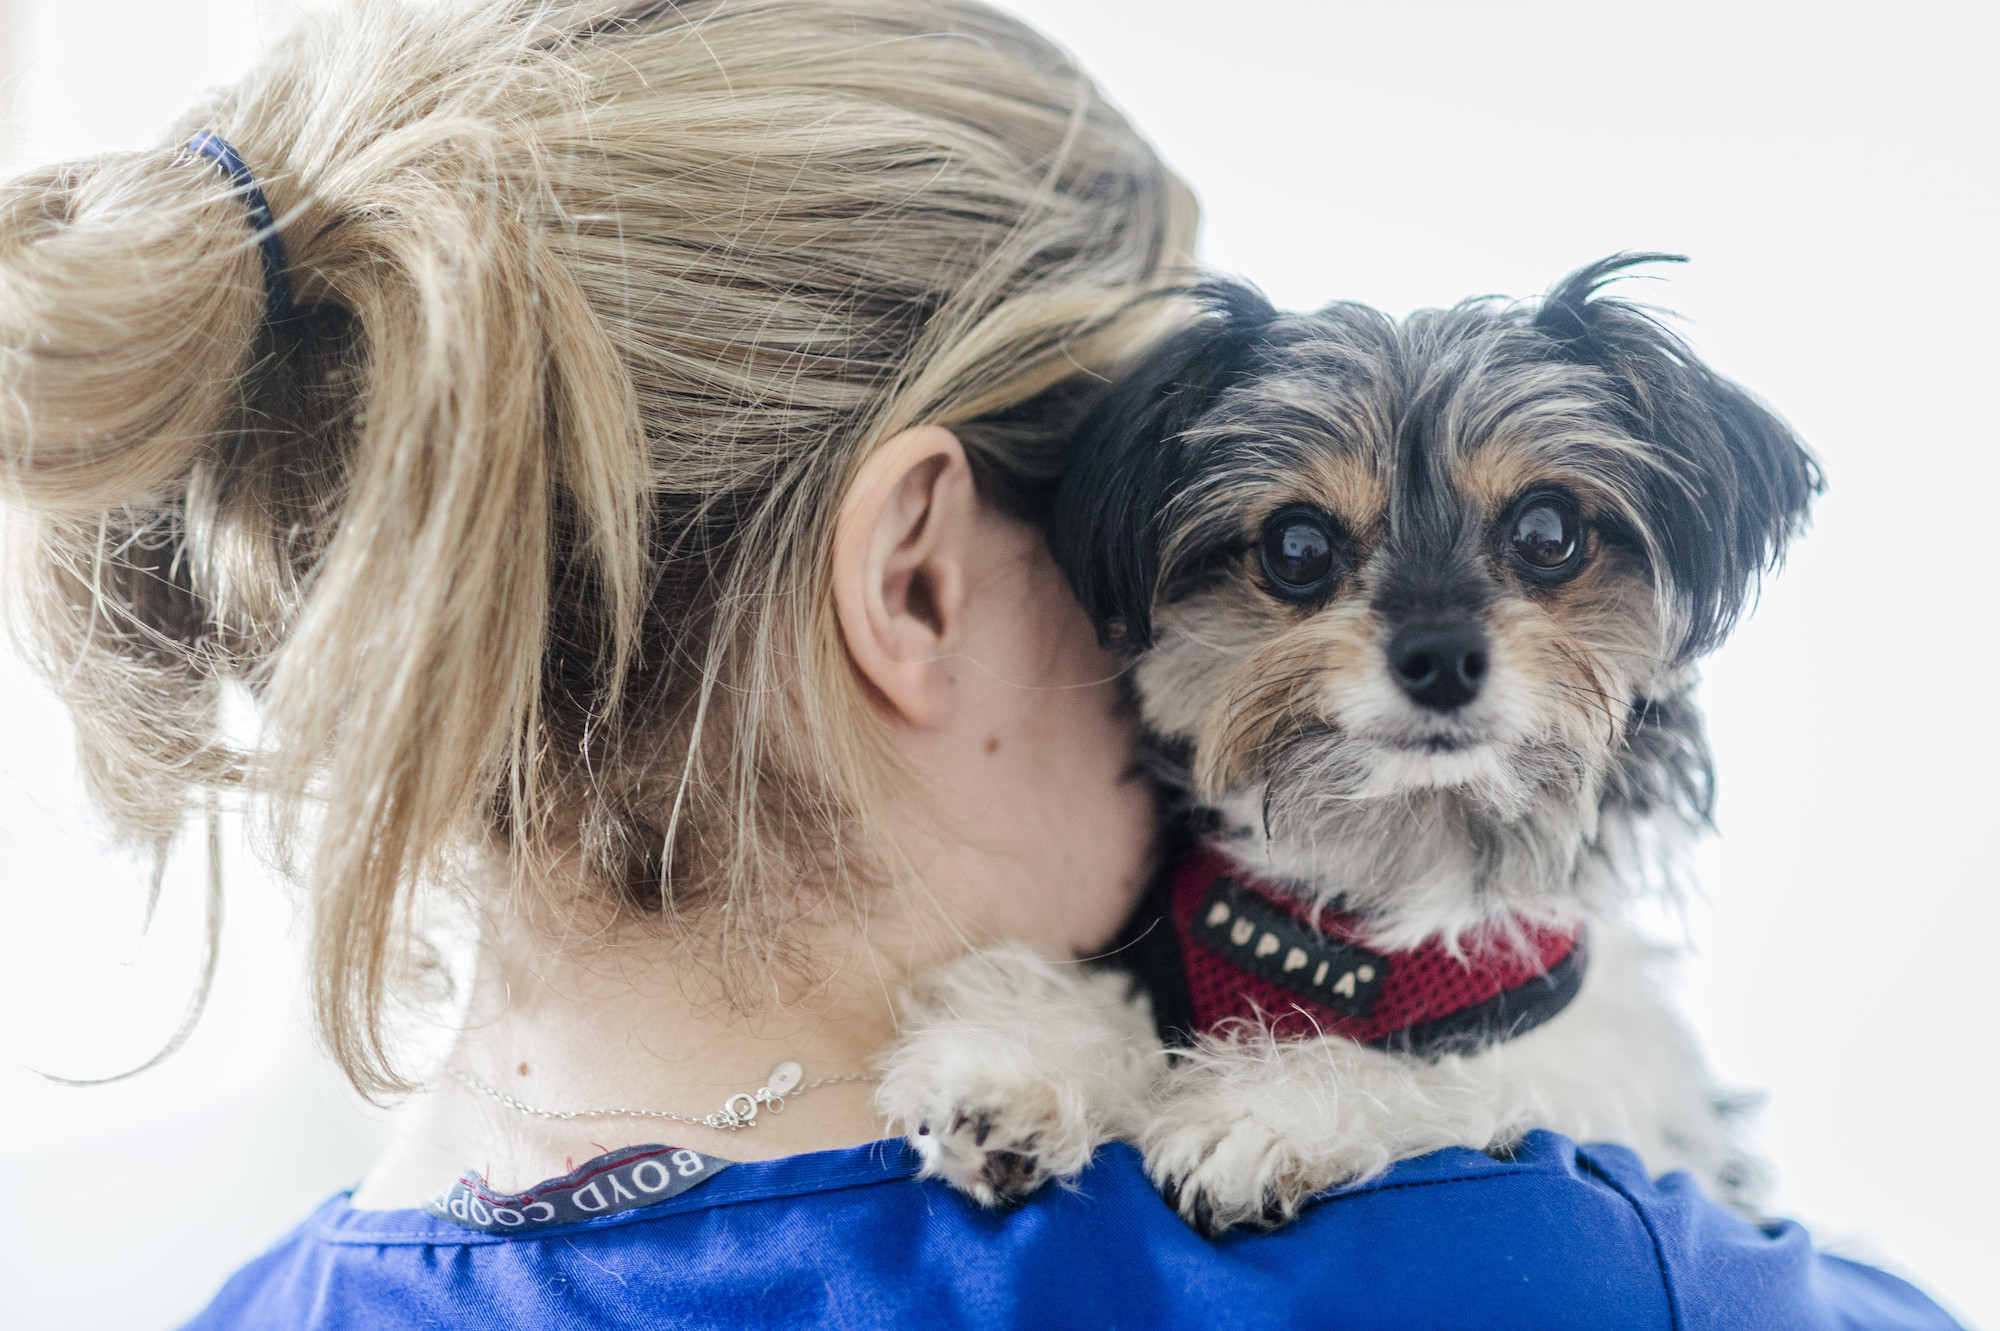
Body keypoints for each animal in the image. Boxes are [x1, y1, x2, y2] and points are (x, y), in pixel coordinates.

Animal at [876, 253, 1816, 1231]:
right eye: (1297, 544)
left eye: (1547, 530)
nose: (1440, 657)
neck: (1376, 894)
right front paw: (1024, 1055)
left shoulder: (1595, 1068)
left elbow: (1454, 1073)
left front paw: (1267, 1106)